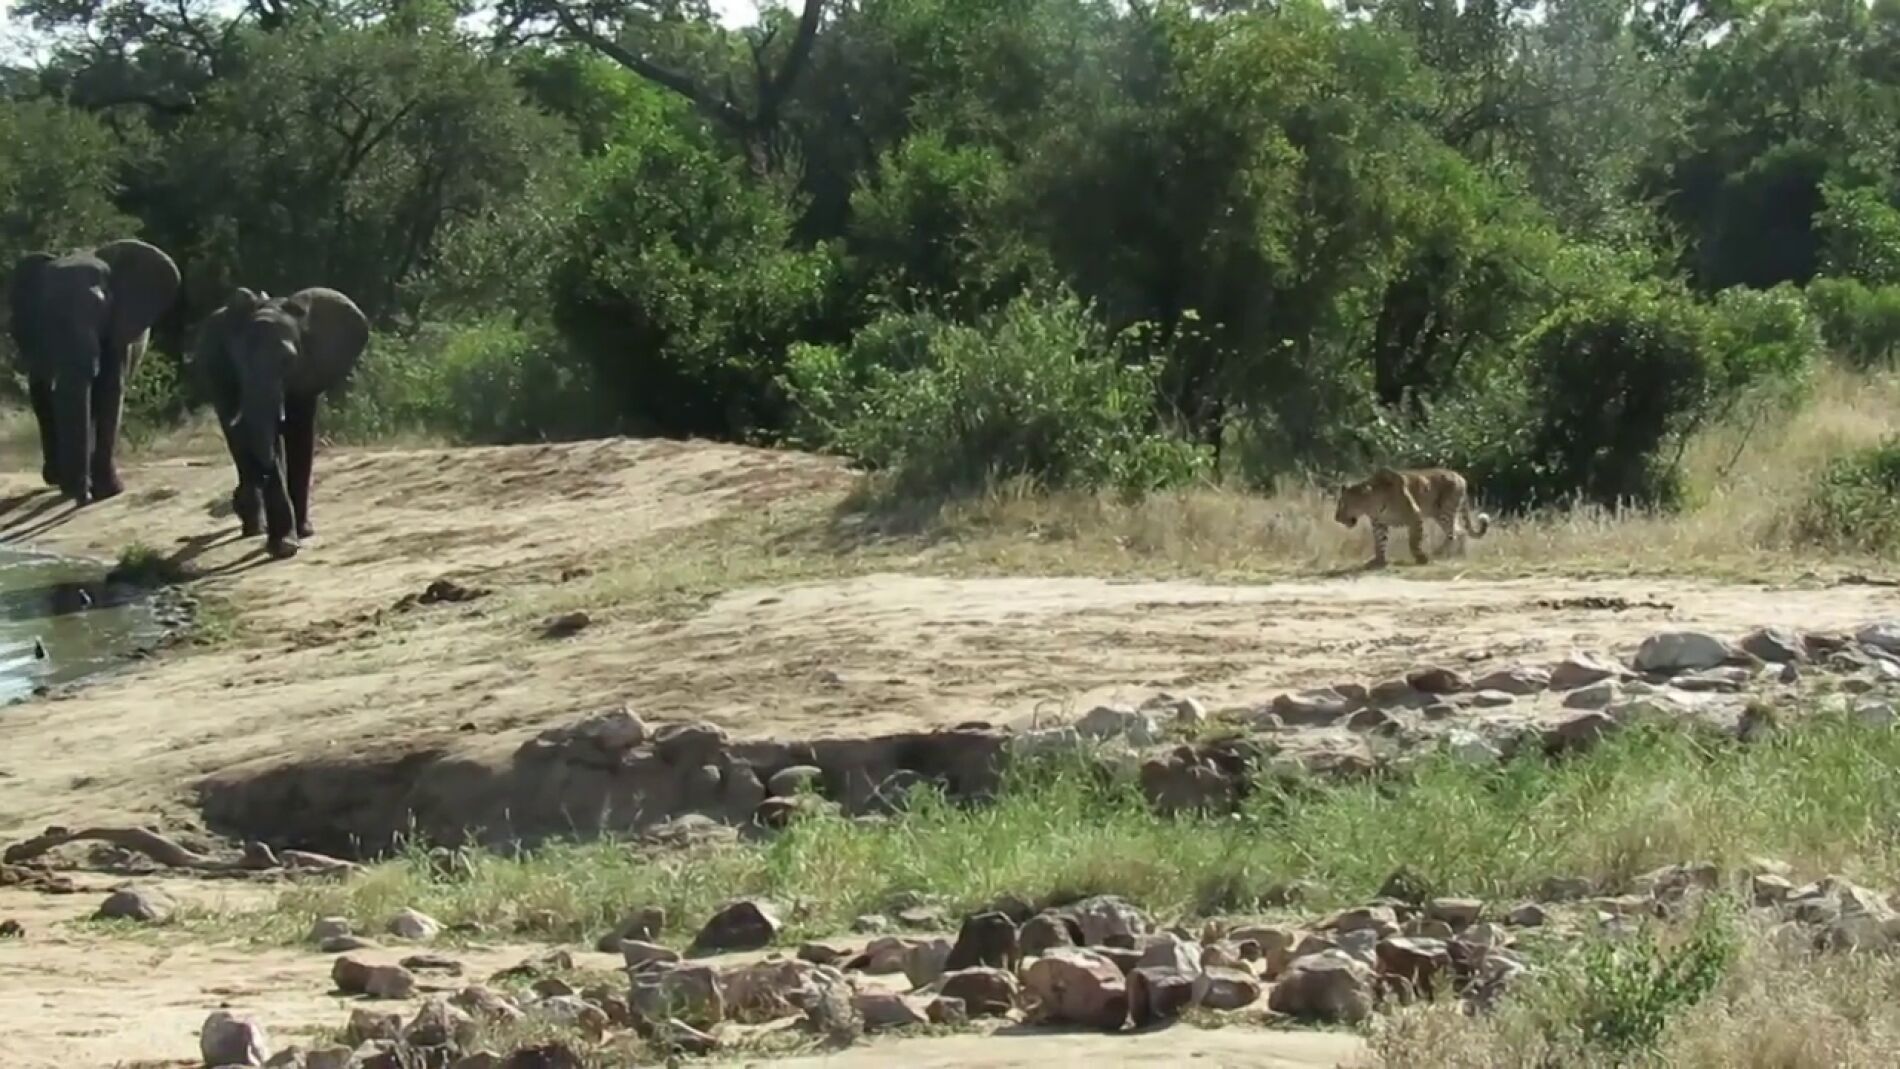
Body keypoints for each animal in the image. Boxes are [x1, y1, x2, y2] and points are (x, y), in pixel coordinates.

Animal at [6, 239, 182, 504]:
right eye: (45, 315)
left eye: (102, 308)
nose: (83, 497)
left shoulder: (117, 331)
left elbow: (110, 392)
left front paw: (110, 491)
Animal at [190, 286, 369, 559]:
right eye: (240, 362)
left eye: (287, 361)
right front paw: (285, 546)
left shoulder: (307, 373)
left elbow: (299, 436)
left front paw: (301, 535)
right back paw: (253, 525)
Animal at [1333, 466, 1491, 568]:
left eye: (1343, 504)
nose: (1336, 518)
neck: (1372, 504)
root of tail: (1461, 477)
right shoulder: (1379, 524)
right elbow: (1380, 542)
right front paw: (1378, 561)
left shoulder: (1415, 516)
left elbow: (1414, 542)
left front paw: (1421, 558)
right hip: (1440, 513)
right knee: (1459, 531)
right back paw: (1457, 555)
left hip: (1445, 511)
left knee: (1453, 533)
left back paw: (1439, 553)